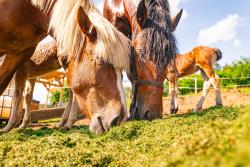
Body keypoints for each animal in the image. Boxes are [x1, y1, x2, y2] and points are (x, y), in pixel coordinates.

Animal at [0, 0, 131, 134]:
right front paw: (21, 125)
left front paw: (9, 126)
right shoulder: (25, 68)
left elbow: (16, 94)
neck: (28, 8)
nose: (118, 119)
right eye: (100, 60)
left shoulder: (21, 64)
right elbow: (26, 95)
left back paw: (67, 123)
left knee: (73, 96)